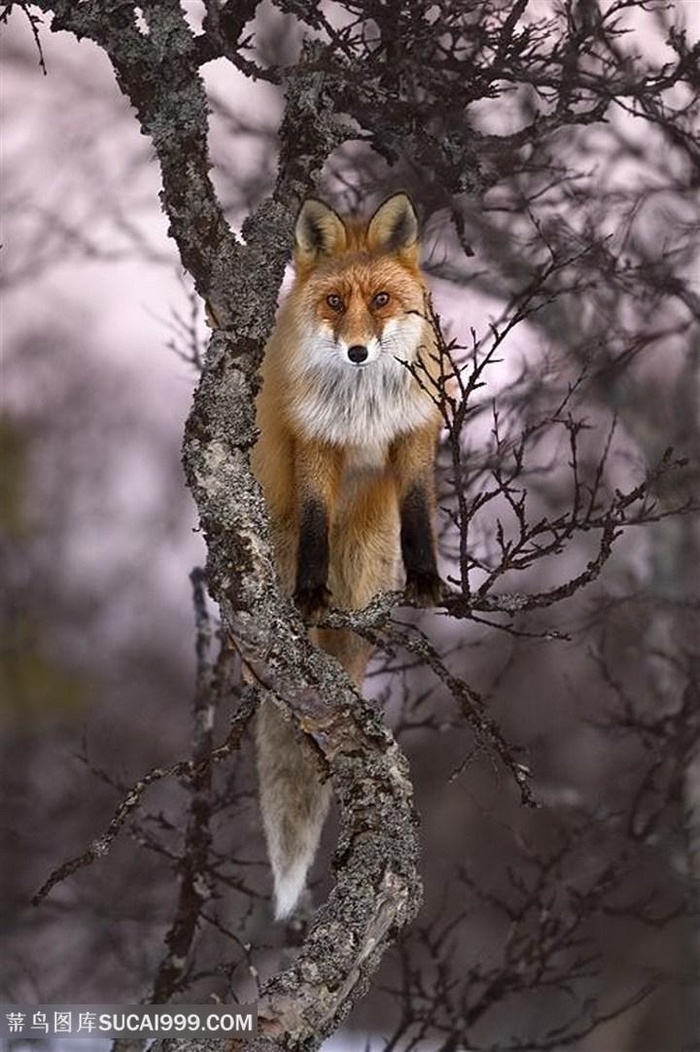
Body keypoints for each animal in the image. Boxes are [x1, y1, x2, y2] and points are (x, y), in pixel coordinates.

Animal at [249, 193, 442, 917]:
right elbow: (312, 524)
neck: (362, 409)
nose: (358, 351)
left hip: (364, 567)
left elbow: (419, 515)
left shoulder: (416, 434)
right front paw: (308, 589)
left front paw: (429, 579)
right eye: (335, 303)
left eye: (382, 300)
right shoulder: (316, 446)